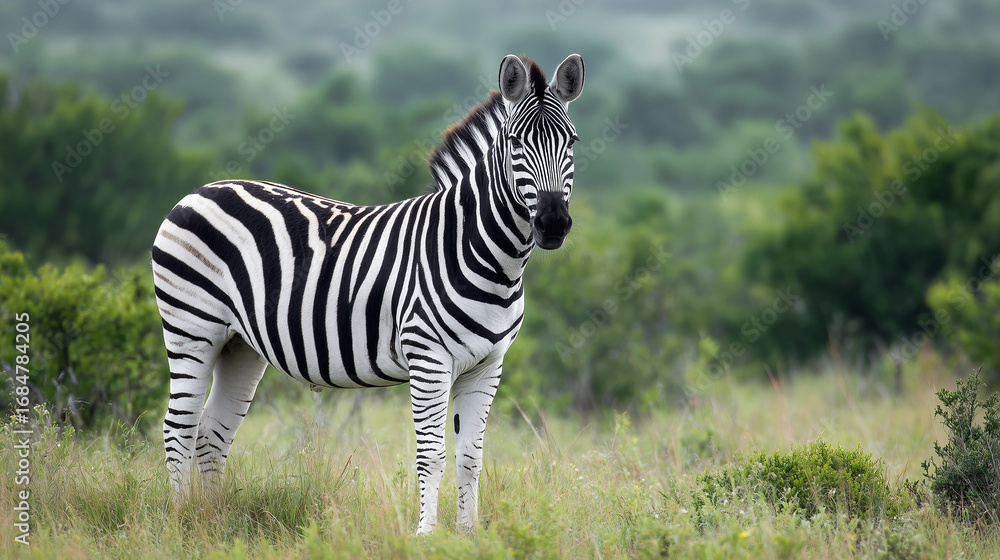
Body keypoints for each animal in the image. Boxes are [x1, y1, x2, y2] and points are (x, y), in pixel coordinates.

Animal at [153, 53, 585, 534]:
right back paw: (180, 520)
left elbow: (471, 456)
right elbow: (432, 455)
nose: (553, 223)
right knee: (179, 426)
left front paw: (469, 536)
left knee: (213, 431)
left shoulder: (488, 365)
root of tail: (200, 190)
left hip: (238, 344)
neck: (487, 256)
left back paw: (212, 522)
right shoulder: (428, 358)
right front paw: (426, 536)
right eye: (514, 143)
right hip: (192, 328)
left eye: (571, 141)